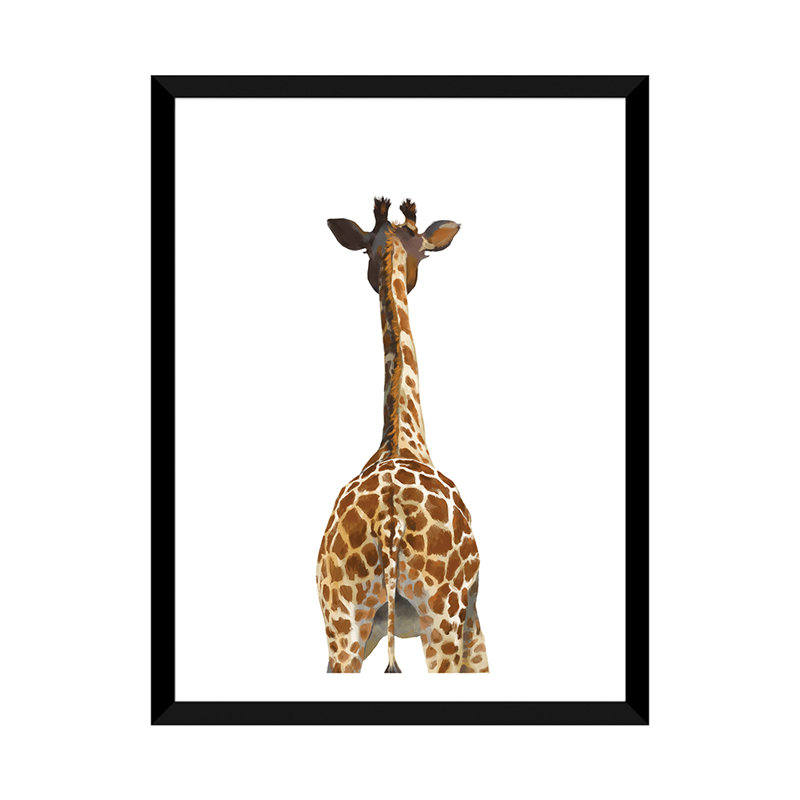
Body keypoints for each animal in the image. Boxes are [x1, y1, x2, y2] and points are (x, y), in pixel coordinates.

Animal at [316, 197, 488, 674]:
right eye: (426, 253)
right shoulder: (474, 617)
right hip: (442, 617)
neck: (403, 438)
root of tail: (390, 520)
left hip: (342, 625)